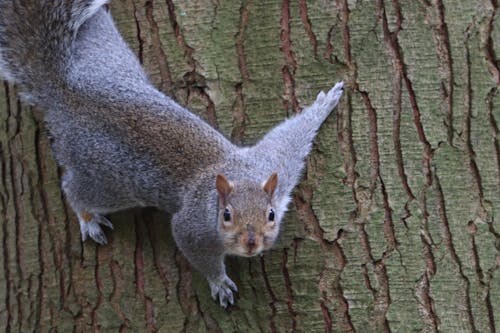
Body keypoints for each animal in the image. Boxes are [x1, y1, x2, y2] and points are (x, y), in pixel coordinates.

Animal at [0, 0, 344, 306]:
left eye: (271, 214)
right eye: (226, 215)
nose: (251, 243)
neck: (236, 179)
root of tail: (65, 94)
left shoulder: (275, 166)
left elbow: (290, 138)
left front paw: (322, 105)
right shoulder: (193, 229)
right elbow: (198, 255)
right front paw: (219, 283)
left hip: (109, 57)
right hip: (108, 181)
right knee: (74, 190)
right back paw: (89, 219)